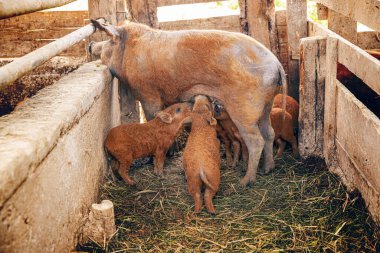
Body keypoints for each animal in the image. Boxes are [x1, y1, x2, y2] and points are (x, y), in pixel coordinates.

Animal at [89, 19, 284, 187]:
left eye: (109, 40)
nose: (90, 45)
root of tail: (276, 64)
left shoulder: (148, 94)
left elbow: (153, 116)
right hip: (266, 105)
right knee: (269, 133)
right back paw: (268, 169)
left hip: (245, 109)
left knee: (256, 140)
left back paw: (245, 181)